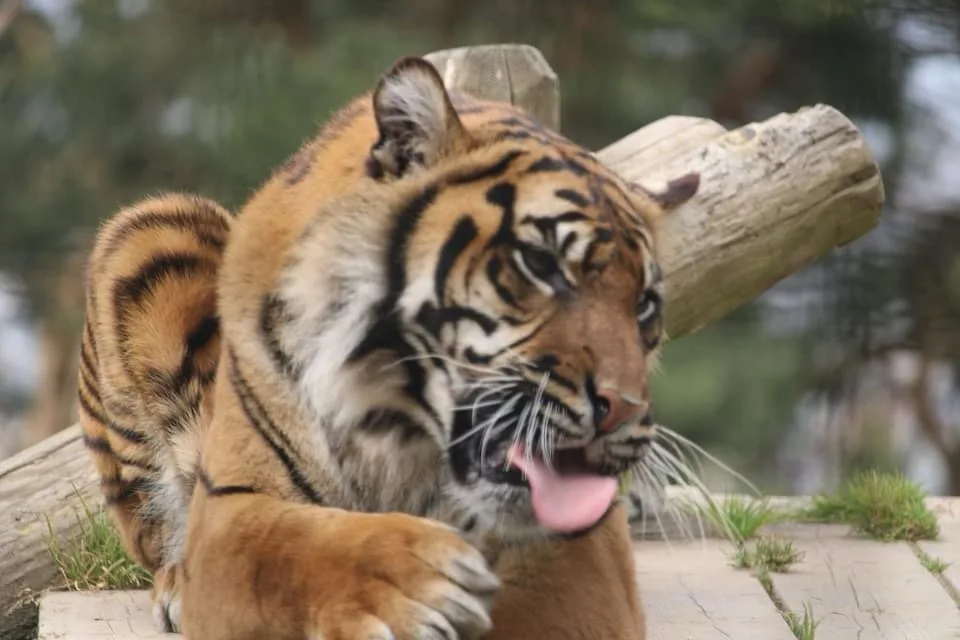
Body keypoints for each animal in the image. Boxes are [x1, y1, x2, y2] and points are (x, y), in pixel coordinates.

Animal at [77, 55, 699, 639]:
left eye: (644, 304)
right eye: (541, 263)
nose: (623, 410)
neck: (391, 421)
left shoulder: (581, 560)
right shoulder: (232, 507)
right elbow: (291, 546)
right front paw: (418, 579)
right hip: (150, 229)